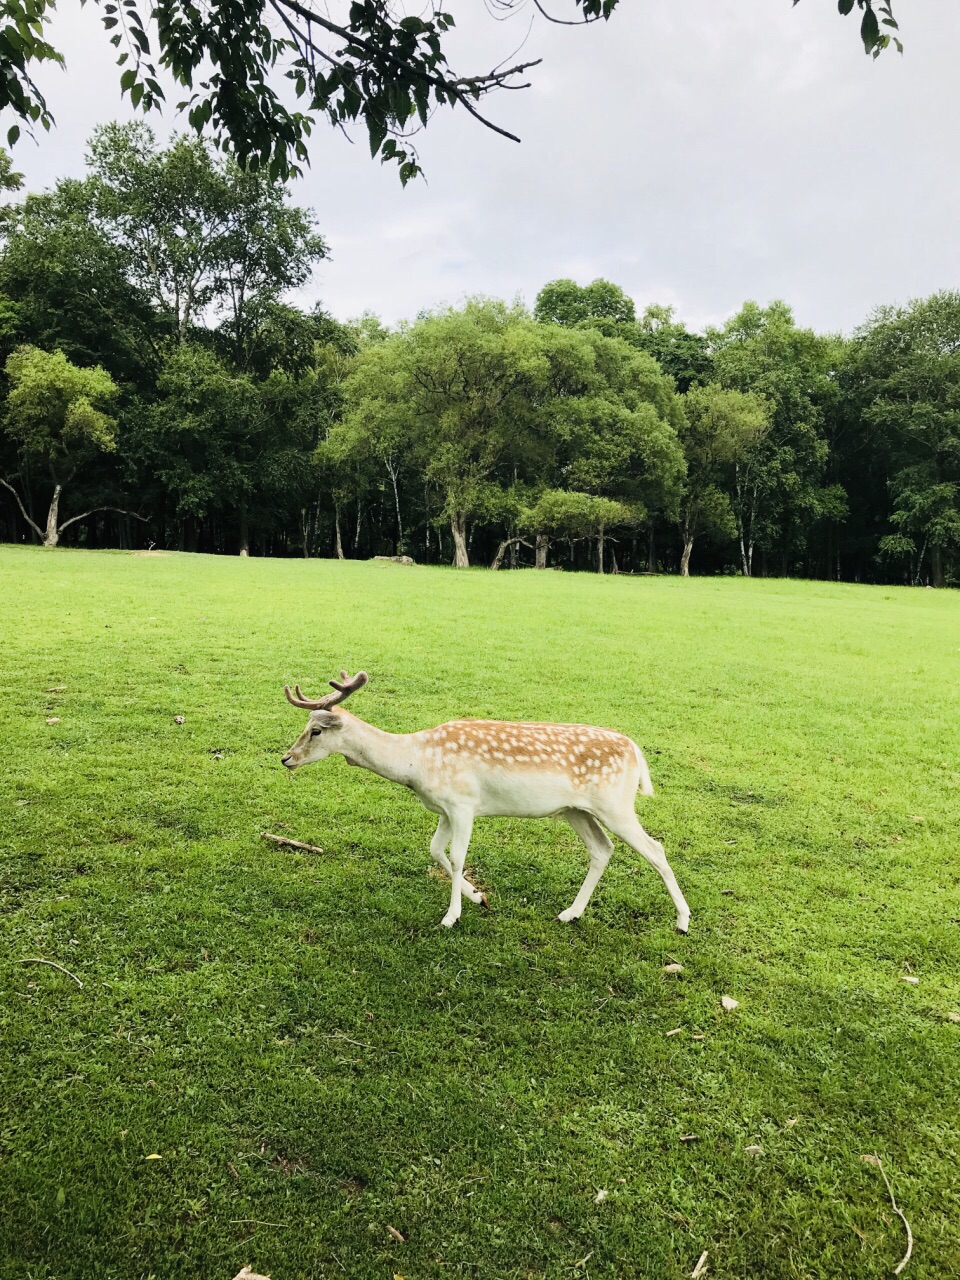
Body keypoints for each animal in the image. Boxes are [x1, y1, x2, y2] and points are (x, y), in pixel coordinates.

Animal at [277, 670, 691, 931]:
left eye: (315, 731)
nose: (286, 759)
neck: (416, 762)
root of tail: (636, 752)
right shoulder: (445, 808)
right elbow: (435, 850)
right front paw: (479, 897)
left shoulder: (463, 803)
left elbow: (458, 856)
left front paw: (451, 917)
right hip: (577, 810)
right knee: (602, 850)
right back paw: (569, 913)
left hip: (615, 804)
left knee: (655, 849)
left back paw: (683, 921)